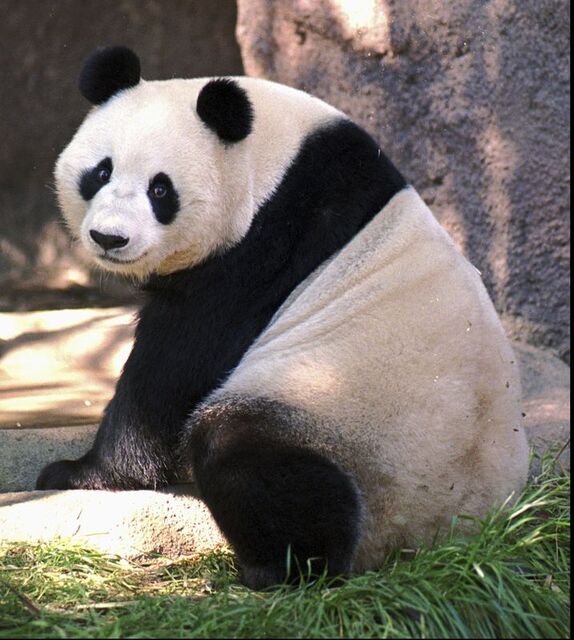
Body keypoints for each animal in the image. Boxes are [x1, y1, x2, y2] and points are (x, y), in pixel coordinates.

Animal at [36, 46, 529, 590]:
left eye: (161, 191)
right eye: (100, 172)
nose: (110, 238)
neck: (271, 161)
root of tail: (454, 532)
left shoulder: (261, 251)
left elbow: (173, 369)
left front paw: (80, 474)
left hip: (353, 425)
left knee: (247, 456)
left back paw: (280, 567)